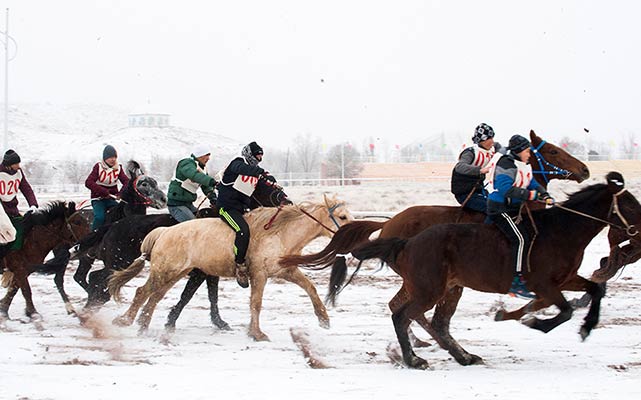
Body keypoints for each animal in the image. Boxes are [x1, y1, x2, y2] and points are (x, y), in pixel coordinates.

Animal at [107, 195, 352, 340]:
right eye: (342, 216)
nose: (354, 238)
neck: (279, 233)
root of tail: (164, 232)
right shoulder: (259, 275)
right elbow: (256, 303)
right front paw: (257, 333)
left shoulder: (285, 271)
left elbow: (310, 287)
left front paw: (323, 319)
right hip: (164, 272)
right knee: (143, 292)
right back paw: (125, 321)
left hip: (175, 274)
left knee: (155, 296)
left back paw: (143, 325)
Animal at [336, 172, 640, 368]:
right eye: (629, 203)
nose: (639, 229)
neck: (561, 231)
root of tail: (407, 241)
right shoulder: (543, 284)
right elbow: (564, 311)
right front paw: (534, 322)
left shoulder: (566, 279)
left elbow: (595, 289)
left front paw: (586, 326)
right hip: (429, 289)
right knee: (402, 316)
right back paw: (414, 359)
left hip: (448, 288)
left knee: (437, 322)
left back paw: (464, 356)